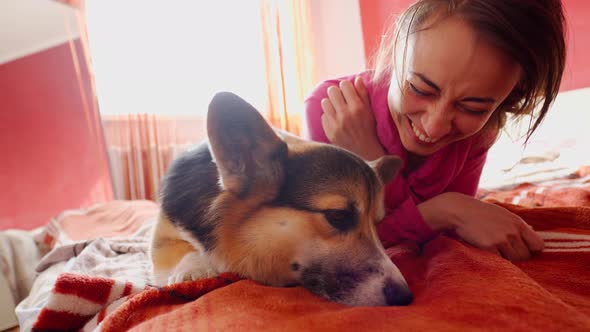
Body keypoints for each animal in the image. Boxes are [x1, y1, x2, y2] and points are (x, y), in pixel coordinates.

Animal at [150, 92, 414, 308]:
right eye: (338, 216)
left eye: (378, 223)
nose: (406, 297)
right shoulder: (164, 235)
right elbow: (184, 250)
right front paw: (194, 272)